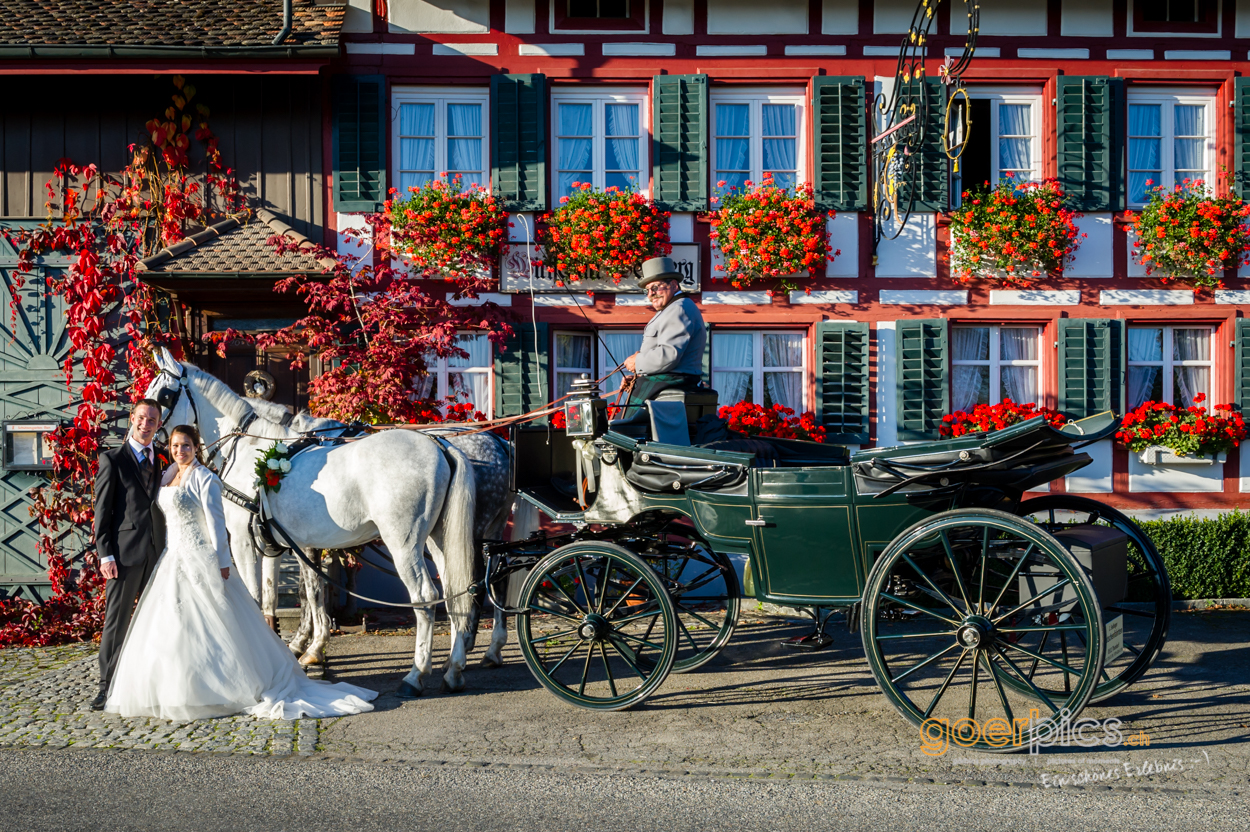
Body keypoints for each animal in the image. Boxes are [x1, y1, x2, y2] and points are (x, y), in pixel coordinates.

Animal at [143, 349, 477, 694]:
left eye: (163, 395)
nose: (147, 434)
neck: (250, 449)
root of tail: (438, 445)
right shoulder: (287, 543)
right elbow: (290, 594)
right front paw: (302, 649)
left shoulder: (242, 539)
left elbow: (258, 594)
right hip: (436, 539)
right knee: (455, 589)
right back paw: (453, 669)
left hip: (404, 542)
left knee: (424, 597)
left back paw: (416, 674)